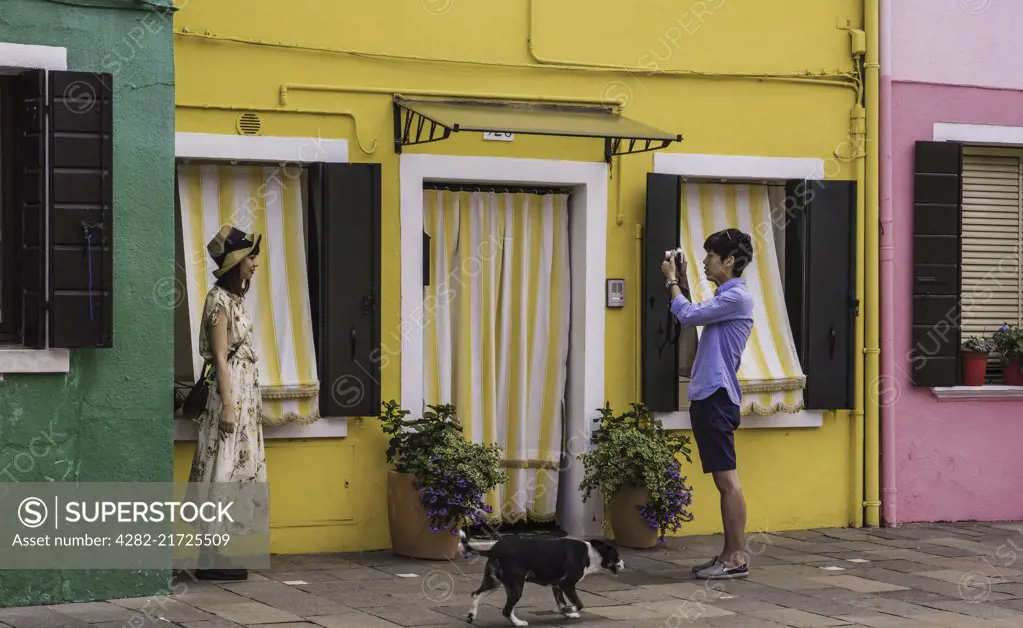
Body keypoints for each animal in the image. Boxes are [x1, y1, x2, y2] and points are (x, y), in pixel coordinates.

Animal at [462, 531, 621, 628]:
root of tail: (495, 550)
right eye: (616, 556)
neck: (591, 554)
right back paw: (518, 623)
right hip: (516, 586)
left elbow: (561, 604)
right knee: (506, 610)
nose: (623, 564)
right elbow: (579, 603)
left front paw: (568, 612)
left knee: (476, 594)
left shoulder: (557, 586)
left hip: (494, 582)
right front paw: (570, 609)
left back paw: (471, 615)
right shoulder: (567, 584)